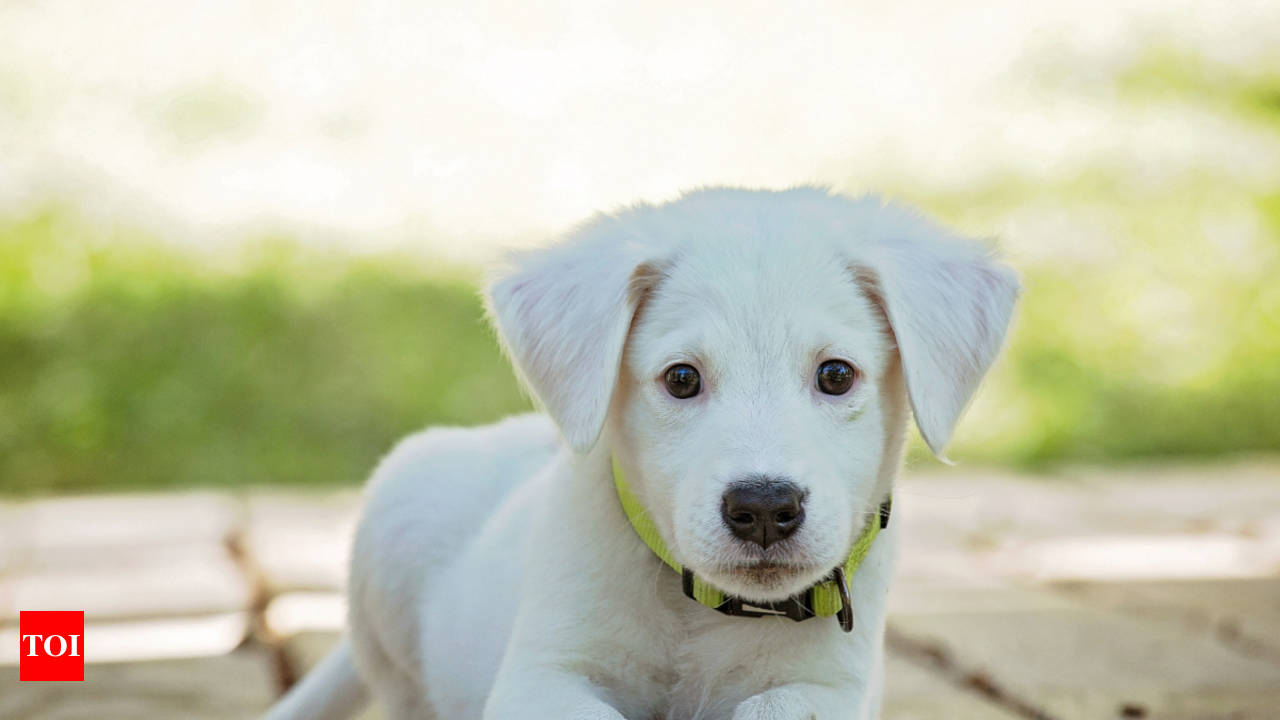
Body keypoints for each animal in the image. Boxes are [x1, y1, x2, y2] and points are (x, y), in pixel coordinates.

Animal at [262, 185, 1018, 717]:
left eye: (836, 375)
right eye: (681, 379)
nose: (763, 508)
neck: (701, 615)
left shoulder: (831, 687)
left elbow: (778, 704)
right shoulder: (542, 676)